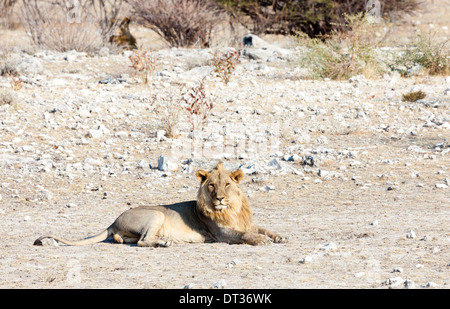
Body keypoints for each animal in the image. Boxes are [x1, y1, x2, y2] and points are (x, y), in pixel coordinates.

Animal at [36, 162, 288, 247]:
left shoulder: (246, 223)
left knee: (130, 239)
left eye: (226, 184)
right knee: (142, 241)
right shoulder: (220, 234)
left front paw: (279, 236)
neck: (232, 209)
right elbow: (245, 235)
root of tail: (113, 221)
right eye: (211, 186)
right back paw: (164, 243)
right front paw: (261, 240)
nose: (219, 198)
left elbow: (262, 228)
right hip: (156, 215)